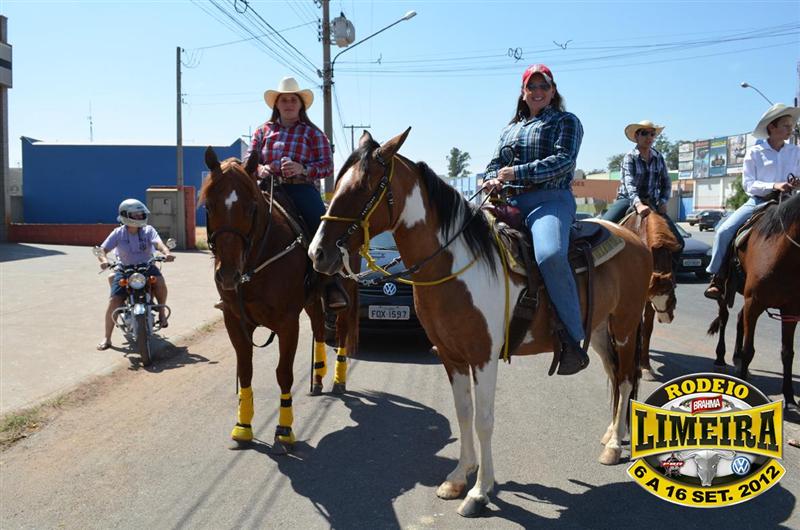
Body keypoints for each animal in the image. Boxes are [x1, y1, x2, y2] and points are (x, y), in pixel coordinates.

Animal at [200, 147, 358, 453]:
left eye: (251, 207)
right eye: (209, 207)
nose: (227, 274)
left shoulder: (287, 322)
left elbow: (283, 373)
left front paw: (284, 430)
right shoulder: (234, 321)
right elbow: (245, 370)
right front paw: (243, 426)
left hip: (347, 293)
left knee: (342, 331)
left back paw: (339, 379)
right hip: (311, 301)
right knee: (319, 328)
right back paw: (318, 377)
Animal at [309, 129, 652, 517]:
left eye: (363, 187)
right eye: (337, 184)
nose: (317, 253)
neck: (456, 264)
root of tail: (635, 239)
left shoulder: (484, 358)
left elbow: (484, 421)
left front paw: (479, 492)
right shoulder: (451, 357)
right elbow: (463, 414)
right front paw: (459, 478)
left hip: (625, 326)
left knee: (626, 378)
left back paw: (613, 447)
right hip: (597, 329)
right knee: (614, 374)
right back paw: (611, 434)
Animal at [708, 191, 800, 409]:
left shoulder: (790, 310)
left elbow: (787, 353)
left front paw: (790, 399)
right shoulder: (754, 302)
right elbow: (749, 350)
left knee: (739, 319)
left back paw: (736, 360)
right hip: (726, 293)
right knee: (724, 318)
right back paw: (721, 357)